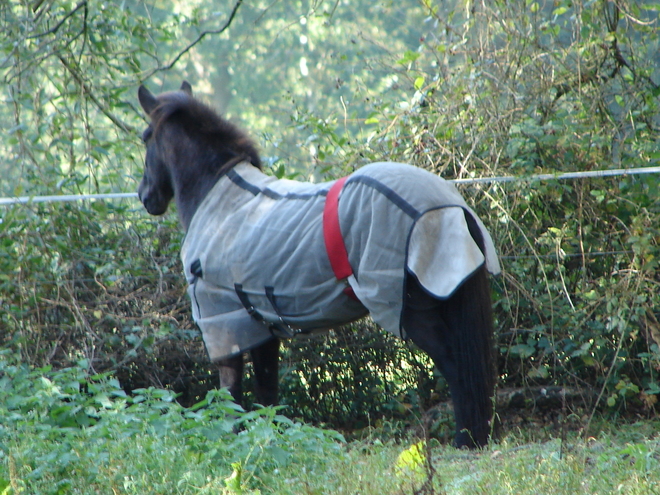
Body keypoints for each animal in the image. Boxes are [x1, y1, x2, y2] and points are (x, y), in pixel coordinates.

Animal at [138, 82, 500, 450]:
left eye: (145, 137)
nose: (145, 196)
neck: (221, 201)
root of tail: (449, 206)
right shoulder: (260, 326)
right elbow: (267, 393)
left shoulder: (223, 323)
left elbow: (230, 395)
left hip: (412, 313)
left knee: (456, 366)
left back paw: (466, 439)